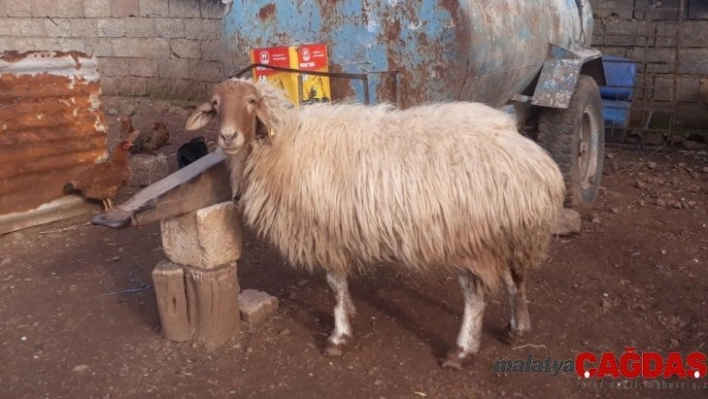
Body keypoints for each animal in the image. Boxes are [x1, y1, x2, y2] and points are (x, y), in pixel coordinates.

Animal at [185, 76, 568, 370]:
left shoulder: (326, 231)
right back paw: (516, 329)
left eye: (252, 101)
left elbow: (334, 286)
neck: (285, 143)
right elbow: (339, 287)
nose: (228, 137)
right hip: (510, 230)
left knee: (475, 296)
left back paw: (460, 352)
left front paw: (338, 337)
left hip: (469, 238)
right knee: (515, 278)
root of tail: (524, 150)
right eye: (215, 105)